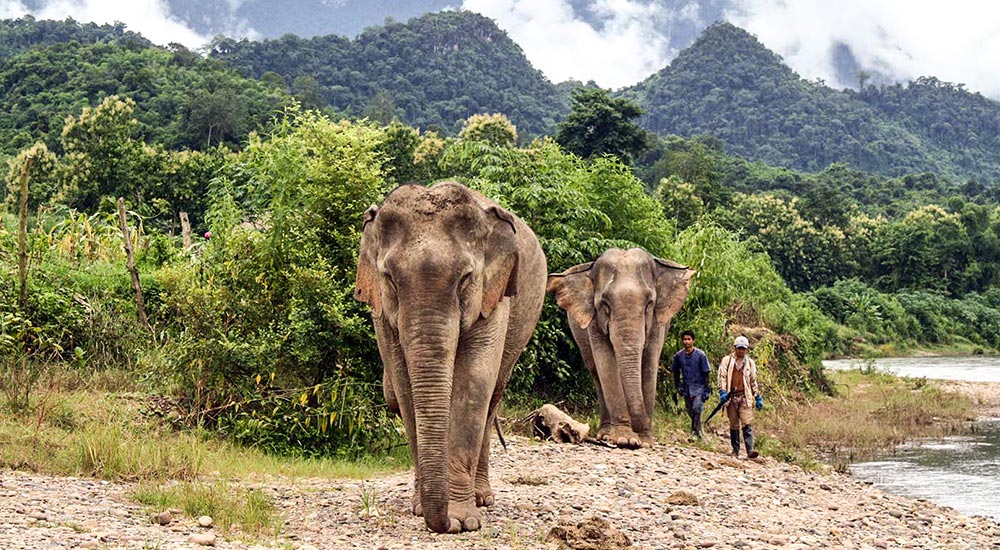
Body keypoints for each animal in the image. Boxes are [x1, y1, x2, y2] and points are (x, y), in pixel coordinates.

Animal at [356, 182, 548, 536]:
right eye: (389, 278)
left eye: (465, 278)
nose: (441, 524)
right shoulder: (381, 313)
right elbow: (404, 387)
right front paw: (421, 509)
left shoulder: (493, 297)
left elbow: (473, 384)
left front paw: (462, 520)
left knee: (493, 397)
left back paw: (482, 498)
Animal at [548, 249, 696, 448]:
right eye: (604, 304)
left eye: (649, 303)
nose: (639, 427)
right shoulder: (594, 322)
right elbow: (606, 363)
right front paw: (625, 439)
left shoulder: (658, 323)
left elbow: (649, 364)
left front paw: (644, 441)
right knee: (596, 373)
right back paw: (605, 434)